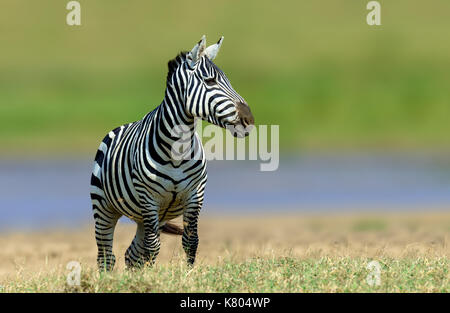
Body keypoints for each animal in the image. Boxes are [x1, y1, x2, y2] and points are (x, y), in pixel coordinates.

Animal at [89, 34, 255, 270]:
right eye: (210, 82)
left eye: (228, 81)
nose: (249, 120)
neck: (177, 151)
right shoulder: (149, 198)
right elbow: (153, 247)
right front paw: (151, 277)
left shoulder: (195, 195)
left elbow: (191, 241)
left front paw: (188, 274)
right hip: (104, 207)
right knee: (106, 256)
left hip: (145, 217)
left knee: (132, 254)